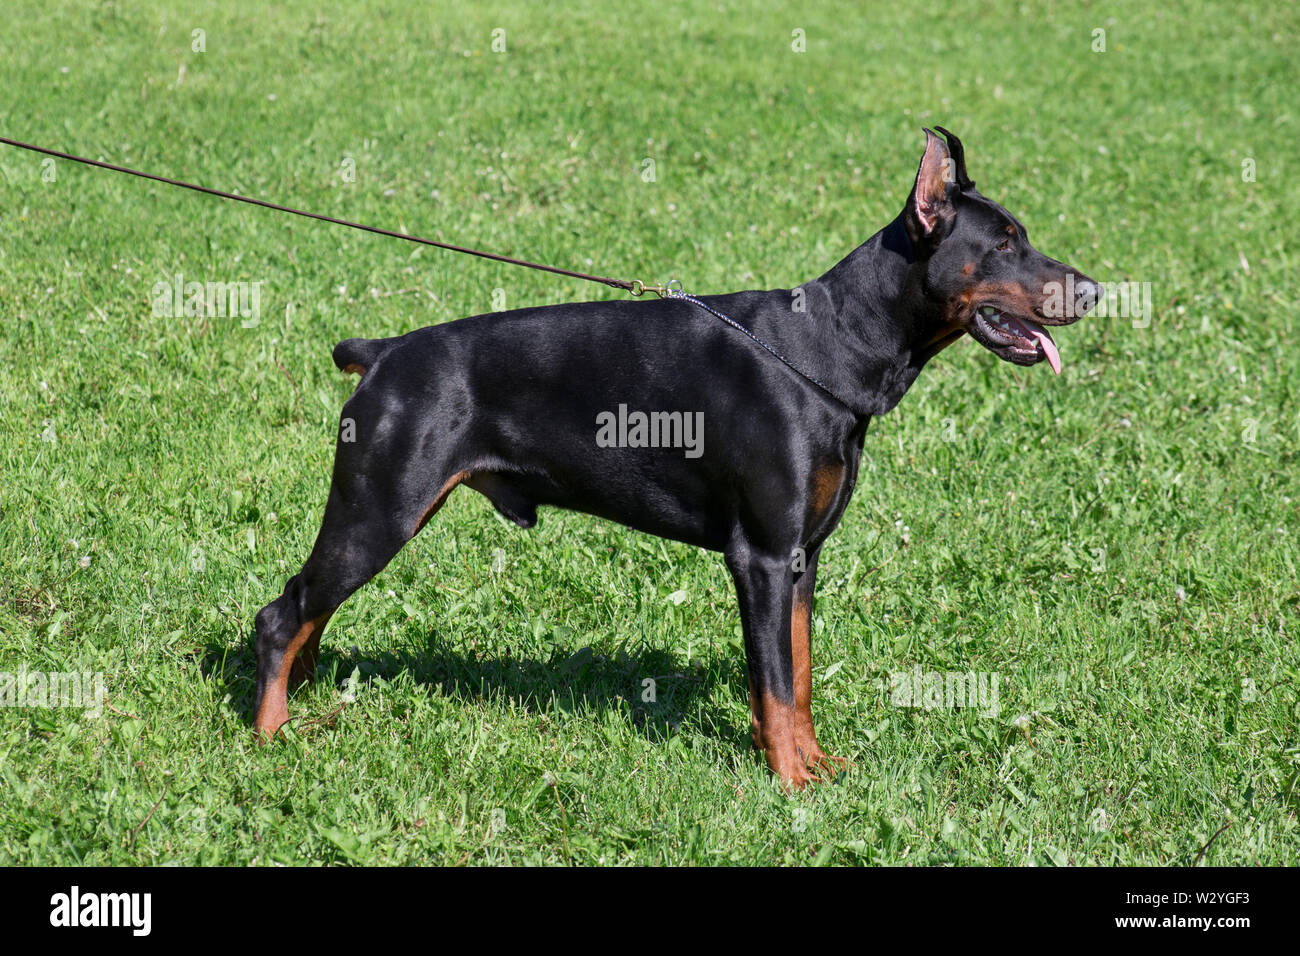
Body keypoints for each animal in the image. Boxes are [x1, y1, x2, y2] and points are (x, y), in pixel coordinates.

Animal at [250, 127, 1097, 790]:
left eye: (1023, 236)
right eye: (1003, 244)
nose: (1090, 291)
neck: (832, 346)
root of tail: (384, 354)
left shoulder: (801, 558)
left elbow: (798, 674)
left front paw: (817, 766)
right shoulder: (760, 556)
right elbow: (775, 683)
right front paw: (791, 783)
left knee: (308, 612)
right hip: (381, 506)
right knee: (281, 614)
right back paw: (269, 733)